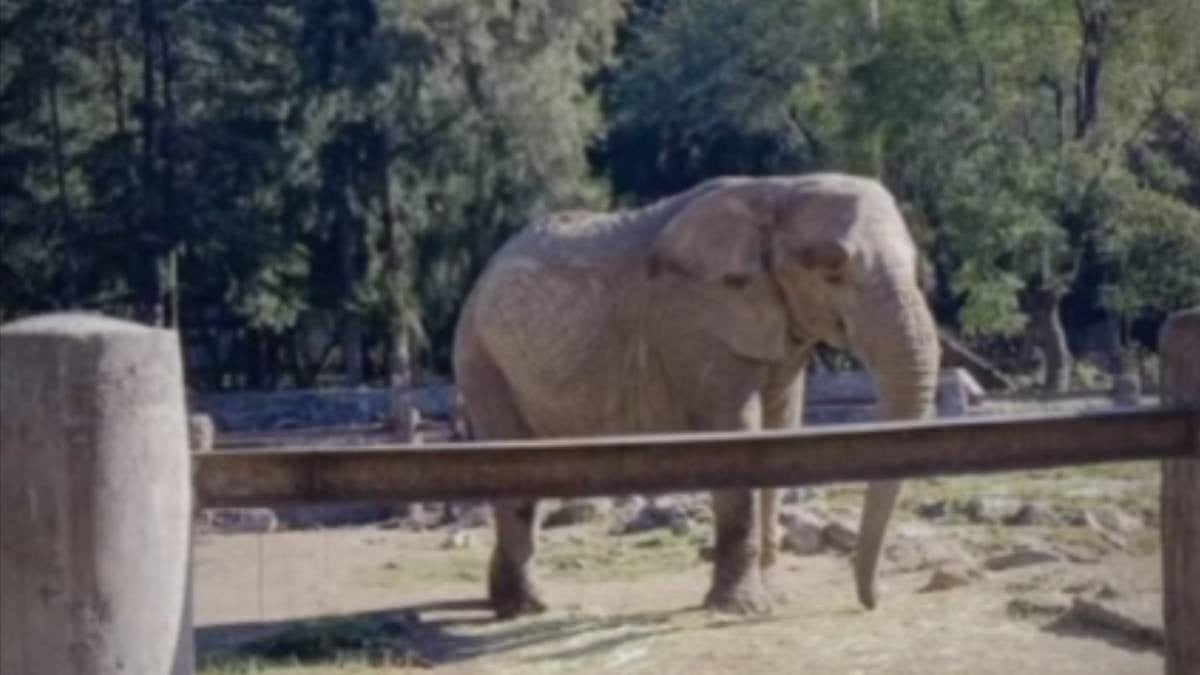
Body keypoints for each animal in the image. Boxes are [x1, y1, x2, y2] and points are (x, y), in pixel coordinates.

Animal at [452, 173, 941, 618]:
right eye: (832, 271)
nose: (874, 602)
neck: (779, 189)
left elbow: (782, 428)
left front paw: (774, 600)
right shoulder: (697, 317)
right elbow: (736, 431)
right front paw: (743, 610)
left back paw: (501, 602)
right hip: (482, 359)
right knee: (515, 474)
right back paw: (526, 608)